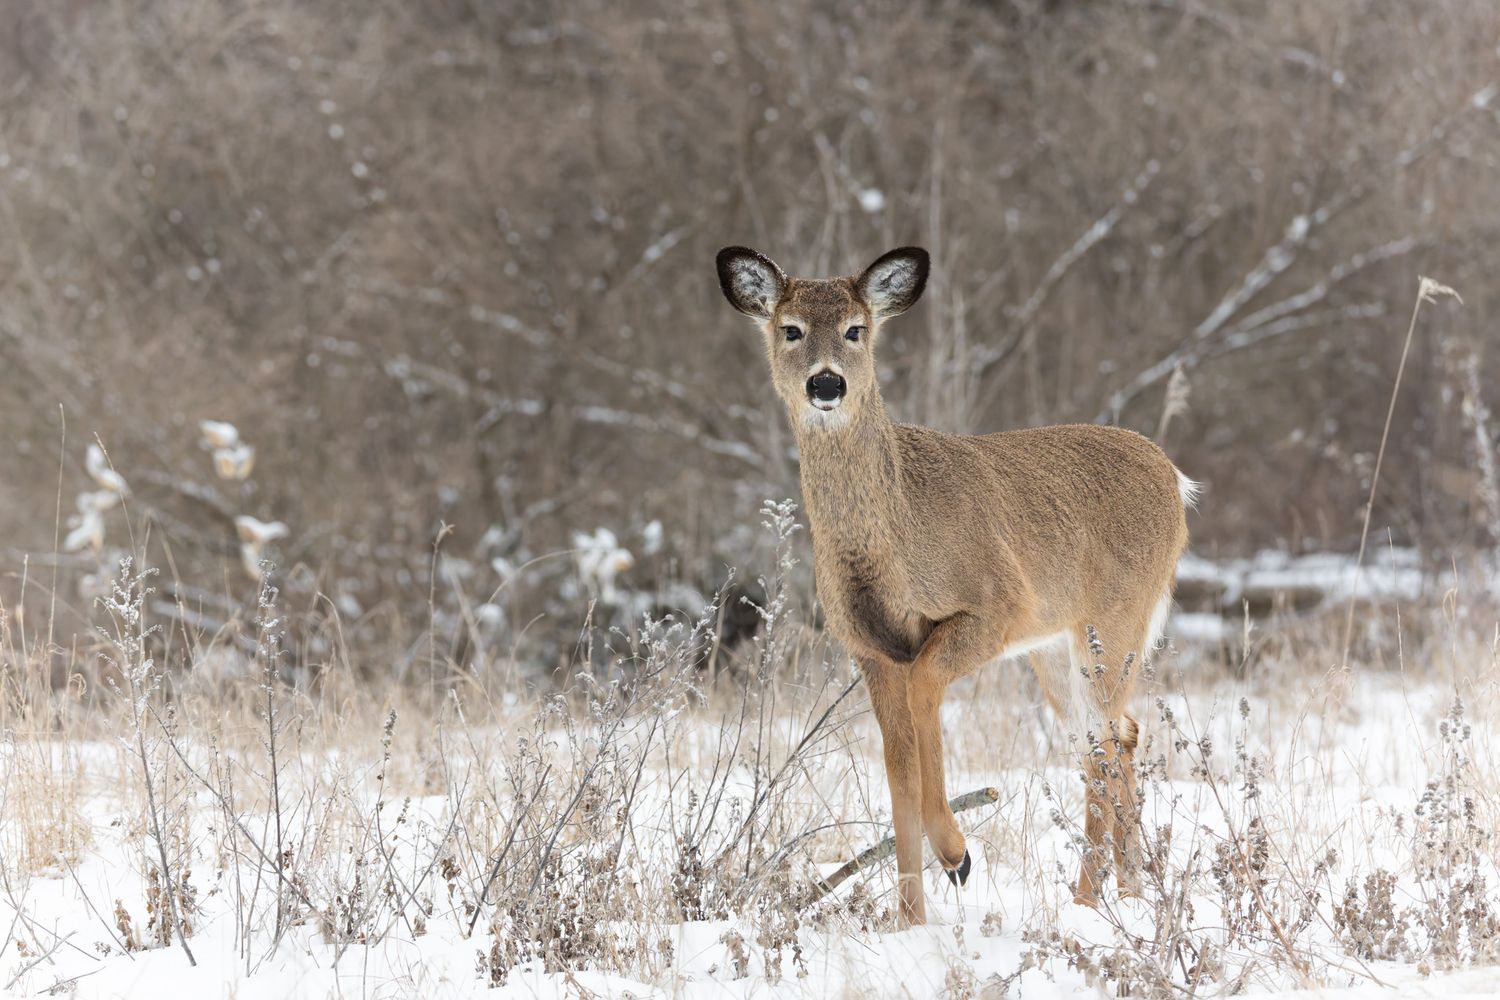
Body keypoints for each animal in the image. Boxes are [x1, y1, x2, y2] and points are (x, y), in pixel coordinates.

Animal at [715, 245, 1195, 926]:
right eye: (791, 330)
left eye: (856, 330)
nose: (826, 383)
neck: (895, 543)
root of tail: (1176, 478)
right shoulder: (869, 649)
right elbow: (897, 771)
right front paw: (910, 919)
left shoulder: (994, 604)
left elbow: (925, 698)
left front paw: (957, 854)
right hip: (1056, 647)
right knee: (1112, 736)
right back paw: (1119, 894)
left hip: (1114, 619)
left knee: (1107, 737)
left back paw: (1093, 901)